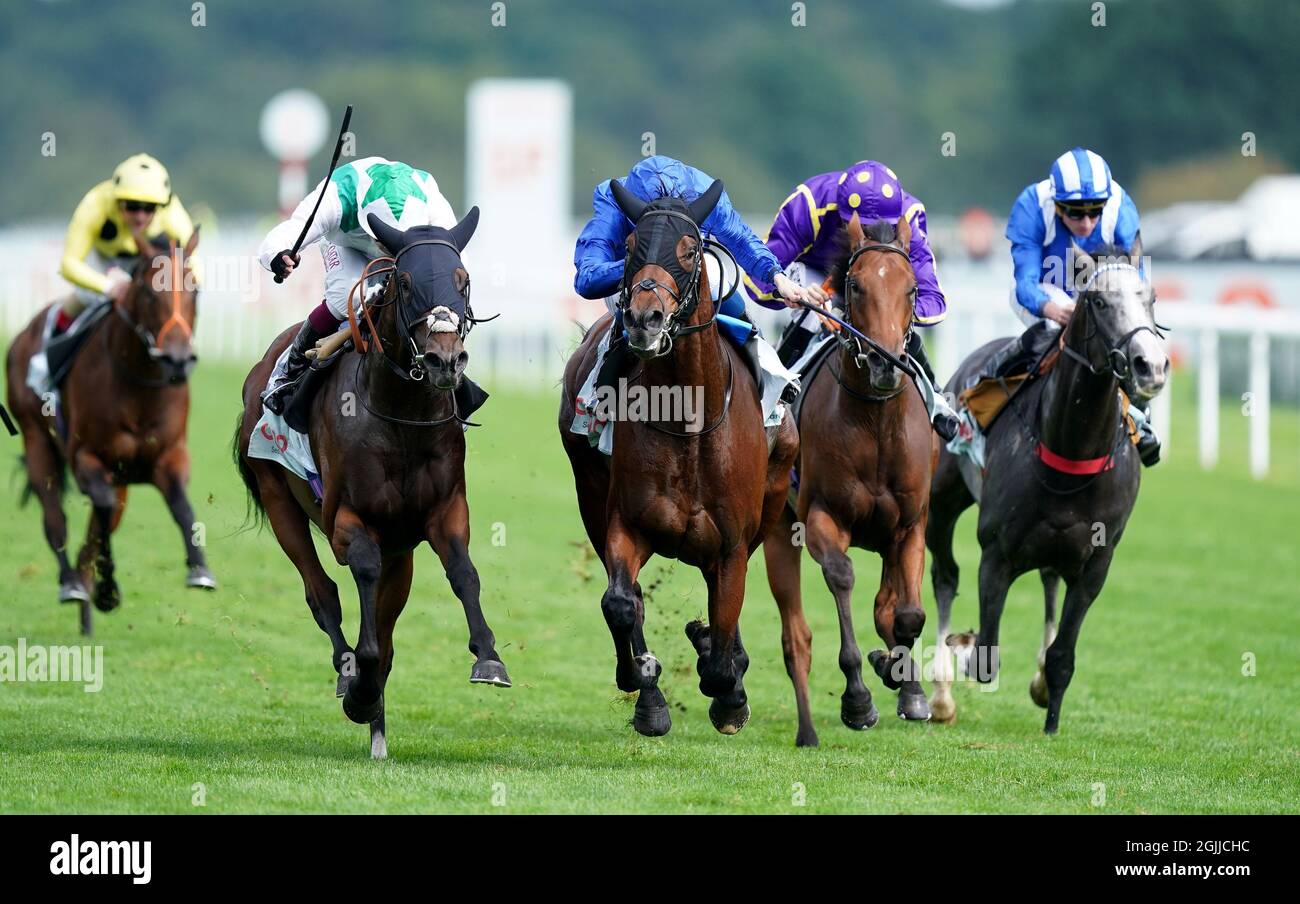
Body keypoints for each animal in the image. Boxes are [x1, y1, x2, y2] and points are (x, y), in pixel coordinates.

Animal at [6, 230, 211, 632]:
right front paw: (107, 589)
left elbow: (181, 506)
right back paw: (73, 584)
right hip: (37, 439)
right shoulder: (86, 457)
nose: (178, 359)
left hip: (120, 480)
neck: (139, 388)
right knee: (55, 519)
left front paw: (199, 568)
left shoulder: (168, 457)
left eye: (194, 289)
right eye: (148, 291)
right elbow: (97, 513)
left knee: (96, 529)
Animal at [233, 208, 506, 759]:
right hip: (278, 500)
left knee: (384, 613)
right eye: (405, 283)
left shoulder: (443, 512)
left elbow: (464, 573)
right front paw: (361, 686)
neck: (402, 417)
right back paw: (350, 672)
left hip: (401, 551)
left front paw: (488, 656)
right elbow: (360, 569)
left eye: (462, 279)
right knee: (321, 593)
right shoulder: (348, 520)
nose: (446, 360)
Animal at [556, 180, 795, 738]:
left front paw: (729, 692)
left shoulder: (732, 542)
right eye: (628, 247)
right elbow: (621, 603)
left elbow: (724, 633)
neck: (689, 420)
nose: (645, 320)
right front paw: (643, 681)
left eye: (688, 252)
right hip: (590, 495)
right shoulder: (626, 522)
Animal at [759, 213, 935, 749]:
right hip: (779, 533)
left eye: (912, 288)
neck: (875, 424)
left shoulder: (911, 525)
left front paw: (907, 686)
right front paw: (858, 697)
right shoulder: (821, 517)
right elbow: (841, 577)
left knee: (885, 607)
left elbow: (907, 614)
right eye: (855, 286)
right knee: (795, 638)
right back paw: (807, 730)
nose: (883, 363)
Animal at [925, 241, 1170, 733]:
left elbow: (1062, 656)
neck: (1071, 451)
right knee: (945, 575)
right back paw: (941, 694)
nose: (1149, 366)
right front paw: (963, 648)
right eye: (1098, 302)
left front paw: (1050, 711)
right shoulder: (995, 553)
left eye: (1150, 297)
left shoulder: (1097, 562)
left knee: (1050, 579)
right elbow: (985, 656)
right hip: (941, 502)